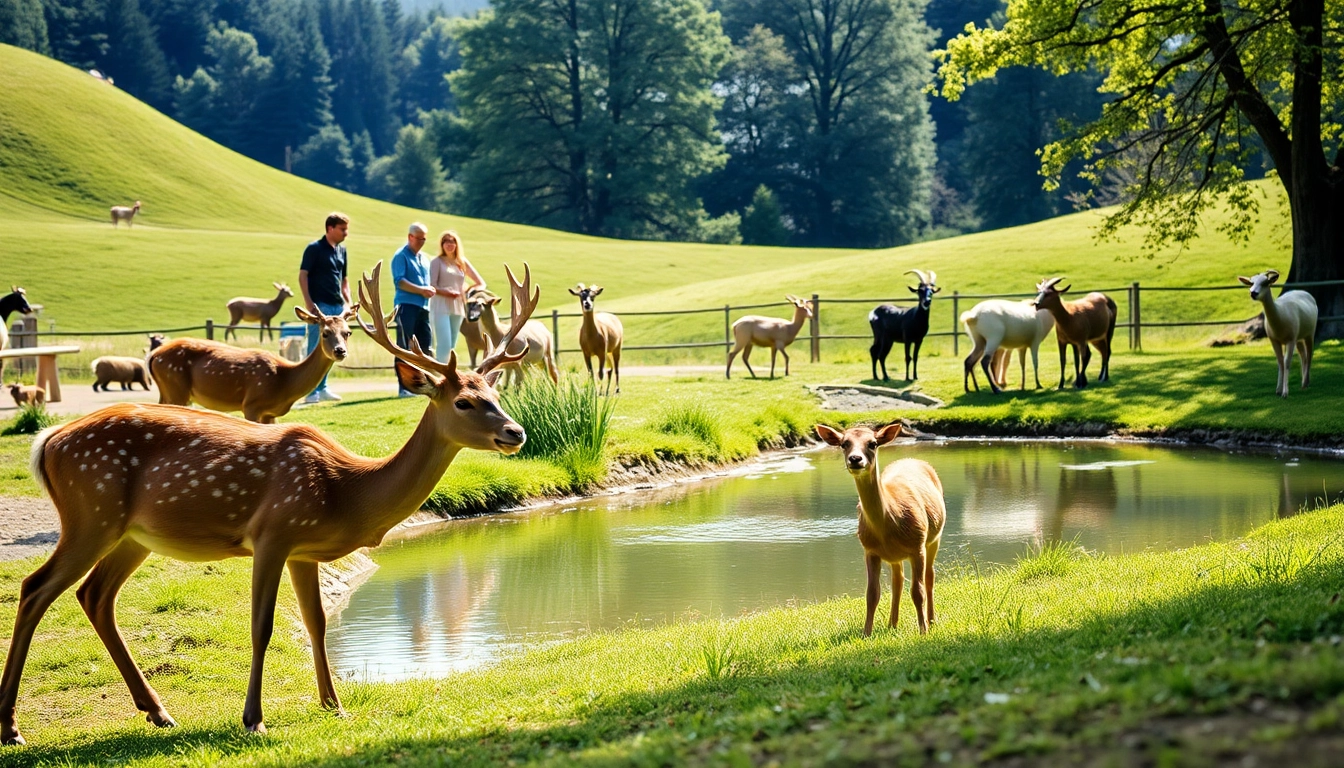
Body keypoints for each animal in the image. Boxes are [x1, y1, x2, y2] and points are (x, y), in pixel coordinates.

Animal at [148, 305, 359, 423]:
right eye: (325, 333)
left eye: (348, 332)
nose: (340, 351)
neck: (285, 382)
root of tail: (153, 355)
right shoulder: (251, 404)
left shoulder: (270, 413)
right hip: (176, 387)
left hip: (168, 391)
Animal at [815, 423, 945, 636]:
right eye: (844, 443)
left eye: (873, 443)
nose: (855, 459)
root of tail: (912, 459)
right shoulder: (870, 551)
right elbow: (872, 593)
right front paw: (866, 633)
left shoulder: (917, 545)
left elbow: (917, 592)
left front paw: (923, 630)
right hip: (895, 555)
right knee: (897, 580)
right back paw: (892, 624)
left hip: (934, 537)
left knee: (929, 576)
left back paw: (932, 620)